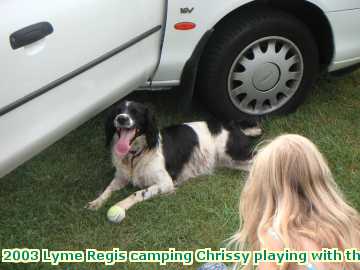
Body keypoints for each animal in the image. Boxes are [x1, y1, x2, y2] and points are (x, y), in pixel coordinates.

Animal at [87, 100, 262, 223]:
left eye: (135, 112)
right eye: (117, 112)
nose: (121, 119)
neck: (134, 155)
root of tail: (232, 124)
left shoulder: (165, 182)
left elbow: (137, 193)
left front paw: (120, 206)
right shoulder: (121, 177)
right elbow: (108, 188)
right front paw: (96, 202)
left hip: (234, 153)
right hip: (230, 161)